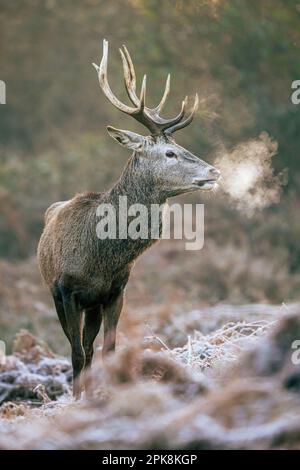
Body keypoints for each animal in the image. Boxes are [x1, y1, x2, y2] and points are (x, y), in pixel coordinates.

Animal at [37, 39, 220, 396]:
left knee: (90, 347)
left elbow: (107, 349)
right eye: (169, 153)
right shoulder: (66, 291)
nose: (214, 171)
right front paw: (77, 400)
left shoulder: (115, 292)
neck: (100, 258)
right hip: (57, 295)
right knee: (79, 349)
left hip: (93, 305)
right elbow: (75, 353)